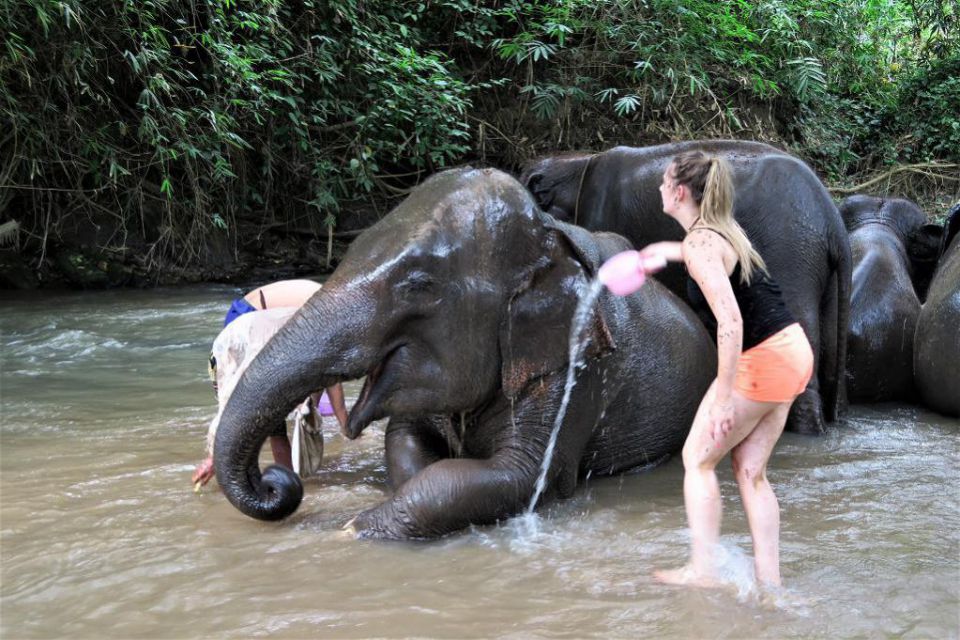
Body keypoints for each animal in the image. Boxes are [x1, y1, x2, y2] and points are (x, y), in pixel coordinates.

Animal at [213, 167, 716, 539]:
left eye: (418, 285)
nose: (273, 482)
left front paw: (350, 530)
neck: (549, 235)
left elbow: (517, 475)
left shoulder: (580, 367)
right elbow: (406, 442)